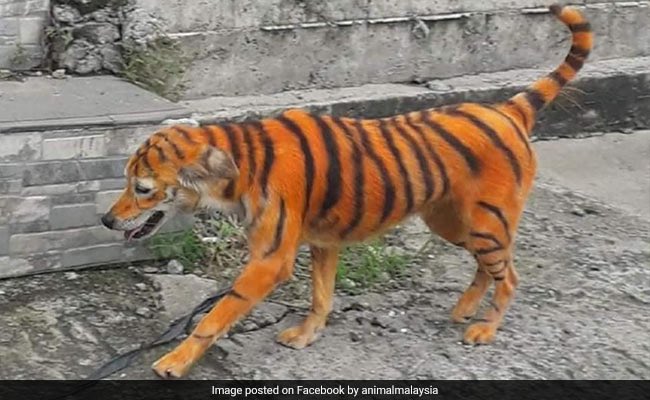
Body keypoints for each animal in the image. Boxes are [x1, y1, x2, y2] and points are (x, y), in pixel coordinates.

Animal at [101, 4, 593, 378]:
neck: (238, 165)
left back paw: (484, 329)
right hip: (453, 222)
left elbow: (216, 315)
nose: (106, 220)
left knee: (509, 275)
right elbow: (322, 295)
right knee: (489, 268)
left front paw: (173, 361)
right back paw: (464, 310)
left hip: (486, 222)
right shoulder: (322, 242)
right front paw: (305, 335)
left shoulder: (271, 259)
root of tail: (508, 108)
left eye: (142, 188)